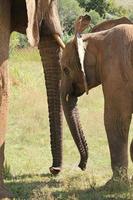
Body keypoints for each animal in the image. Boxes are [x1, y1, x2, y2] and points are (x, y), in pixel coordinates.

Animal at [60, 15, 133, 184]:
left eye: (65, 70)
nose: (81, 166)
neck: (94, 38)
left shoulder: (115, 68)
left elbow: (115, 119)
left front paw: (114, 185)